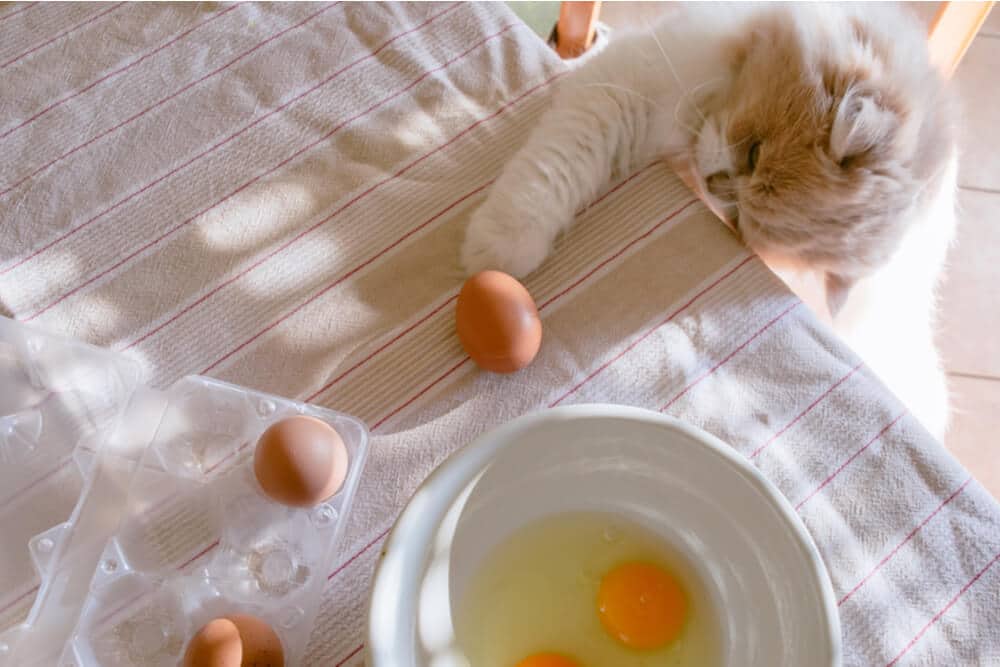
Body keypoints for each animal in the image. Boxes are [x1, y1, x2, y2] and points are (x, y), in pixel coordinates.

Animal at [460, 2, 960, 440]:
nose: (714, 185)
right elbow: (554, 169)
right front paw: (499, 247)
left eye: (740, 219)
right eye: (755, 154)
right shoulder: (638, 83)